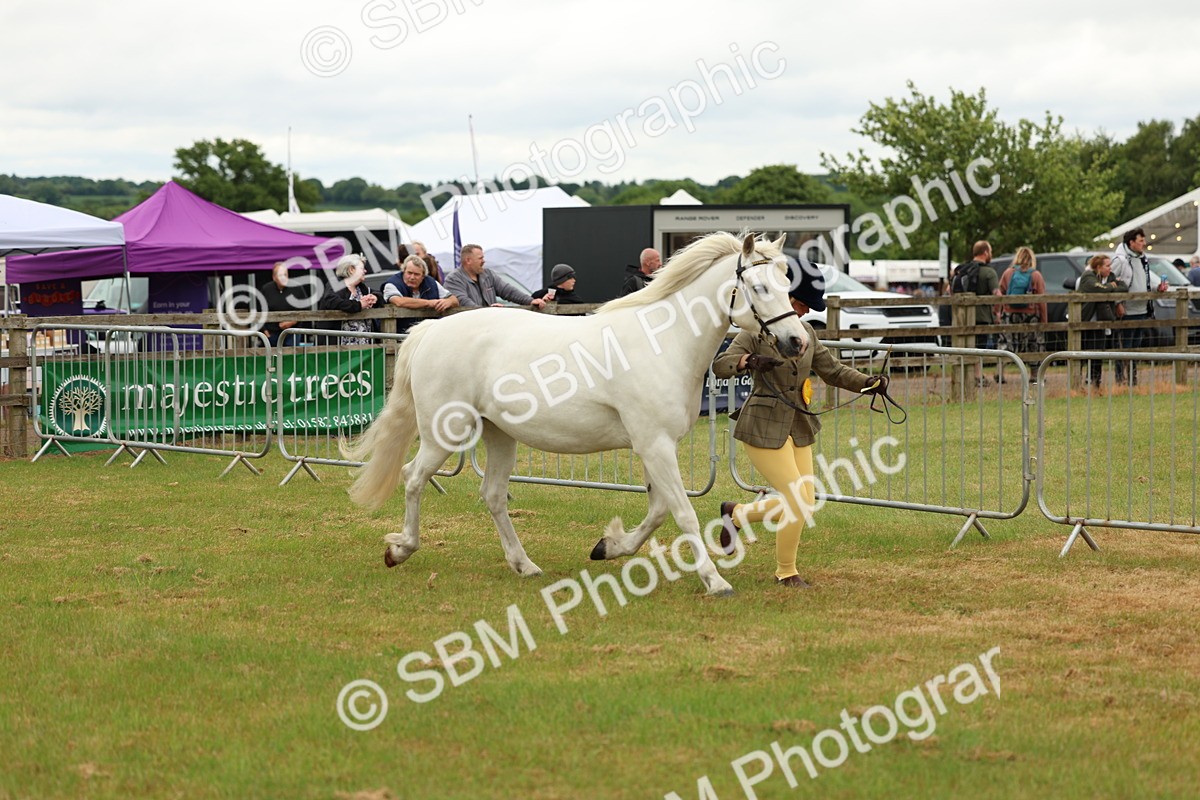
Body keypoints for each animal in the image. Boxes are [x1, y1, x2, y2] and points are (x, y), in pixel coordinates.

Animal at [342, 232, 810, 596]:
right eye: (759, 287)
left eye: (786, 280)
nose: (796, 342)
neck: (664, 342)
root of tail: (430, 330)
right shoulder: (654, 445)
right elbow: (683, 514)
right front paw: (715, 581)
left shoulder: (653, 446)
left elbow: (658, 510)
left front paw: (610, 546)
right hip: (446, 432)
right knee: (413, 478)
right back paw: (400, 549)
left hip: (499, 434)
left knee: (492, 495)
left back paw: (524, 565)